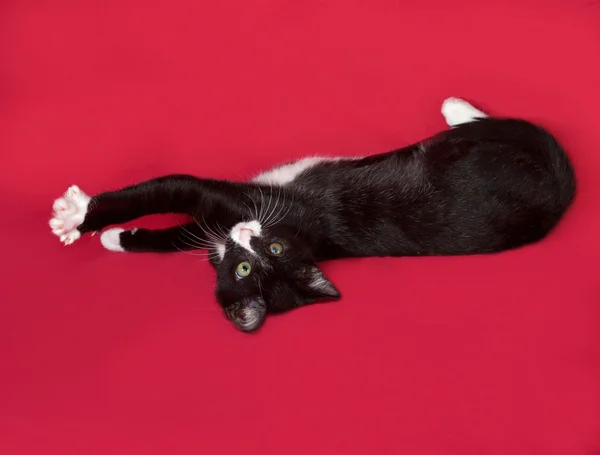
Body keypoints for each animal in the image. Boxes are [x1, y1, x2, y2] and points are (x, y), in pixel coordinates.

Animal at [48, 98, 576, 334]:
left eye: (259, 261)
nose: (248, 234)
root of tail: (563, 191)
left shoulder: (227, 200)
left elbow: (166, 191)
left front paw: (81, 218)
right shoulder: (224, 222)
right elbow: (174, 235)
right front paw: (117, 237)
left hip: (474, 147)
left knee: (495, 124)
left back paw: (456, 110)